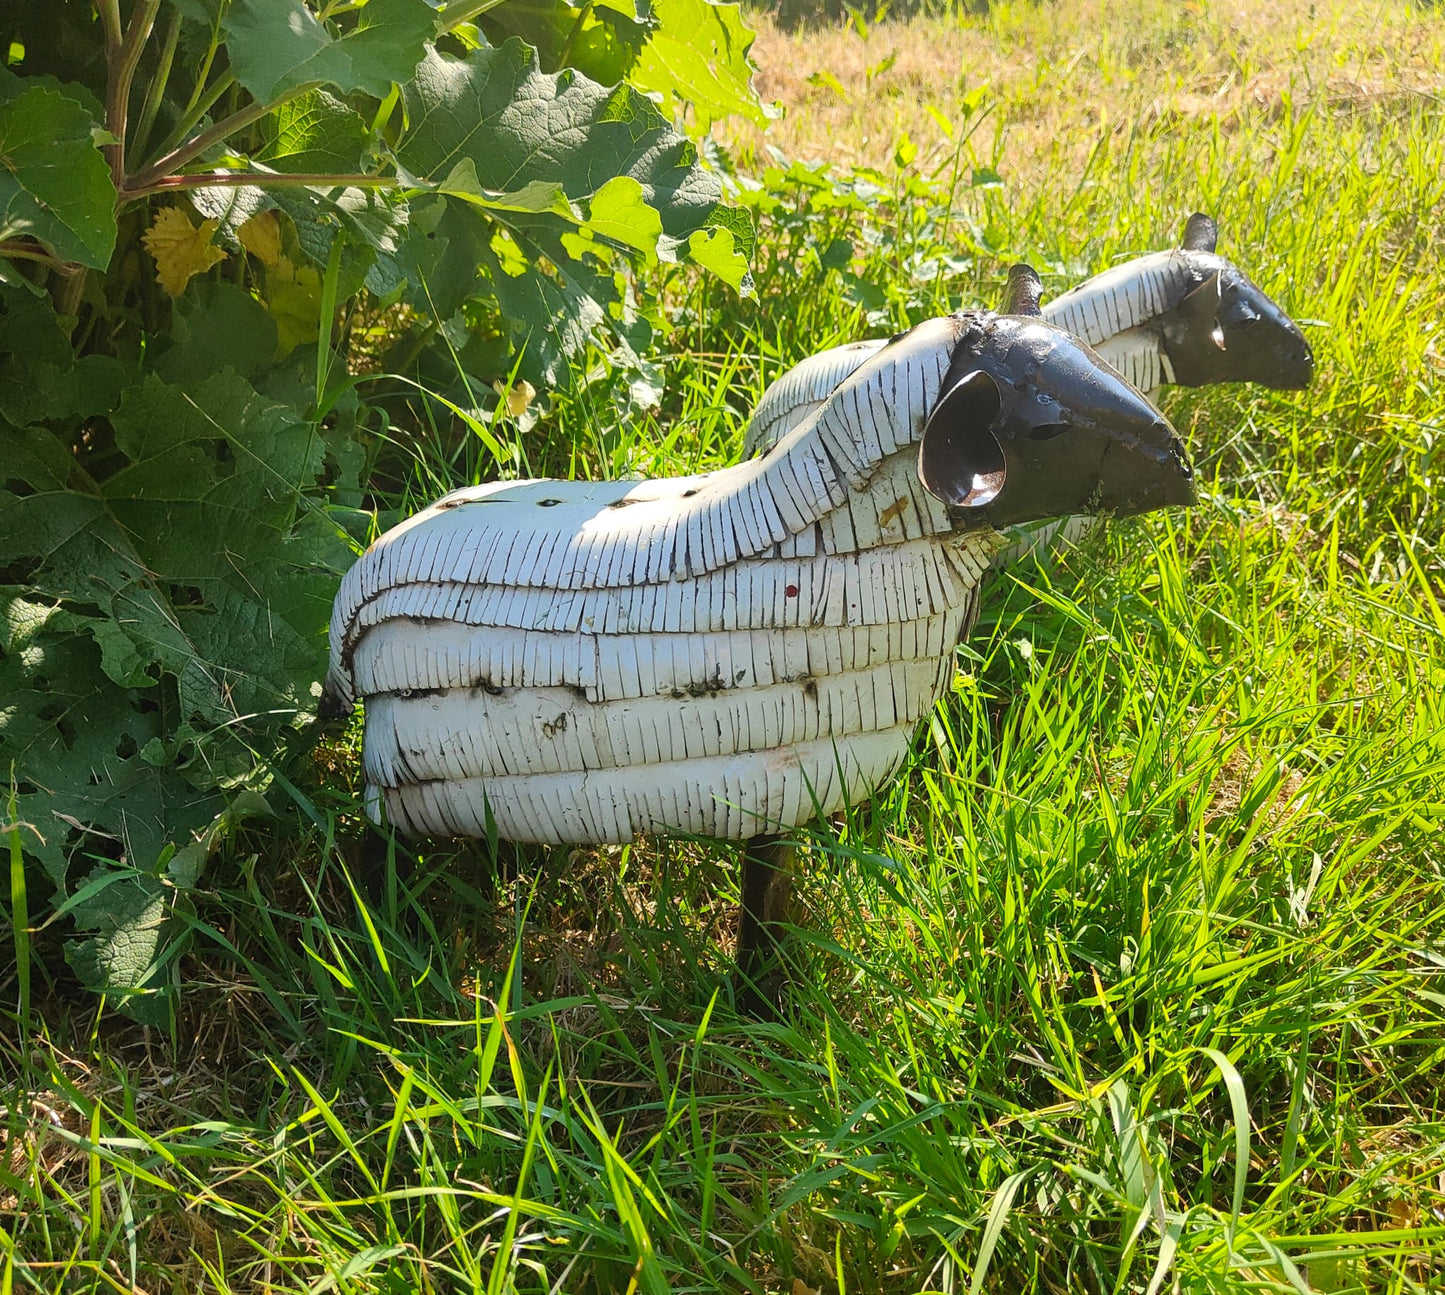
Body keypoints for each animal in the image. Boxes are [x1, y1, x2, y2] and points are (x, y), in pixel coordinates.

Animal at [322, 266, 1195, 1005]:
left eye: (1094, 358)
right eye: (1042, 430)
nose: (1181, 467)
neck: (809, 545)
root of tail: (358, 597)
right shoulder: (776, 787)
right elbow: (763, 909)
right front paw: (761, 1005)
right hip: (402, 784)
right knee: (376, 859)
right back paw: (384, 949)